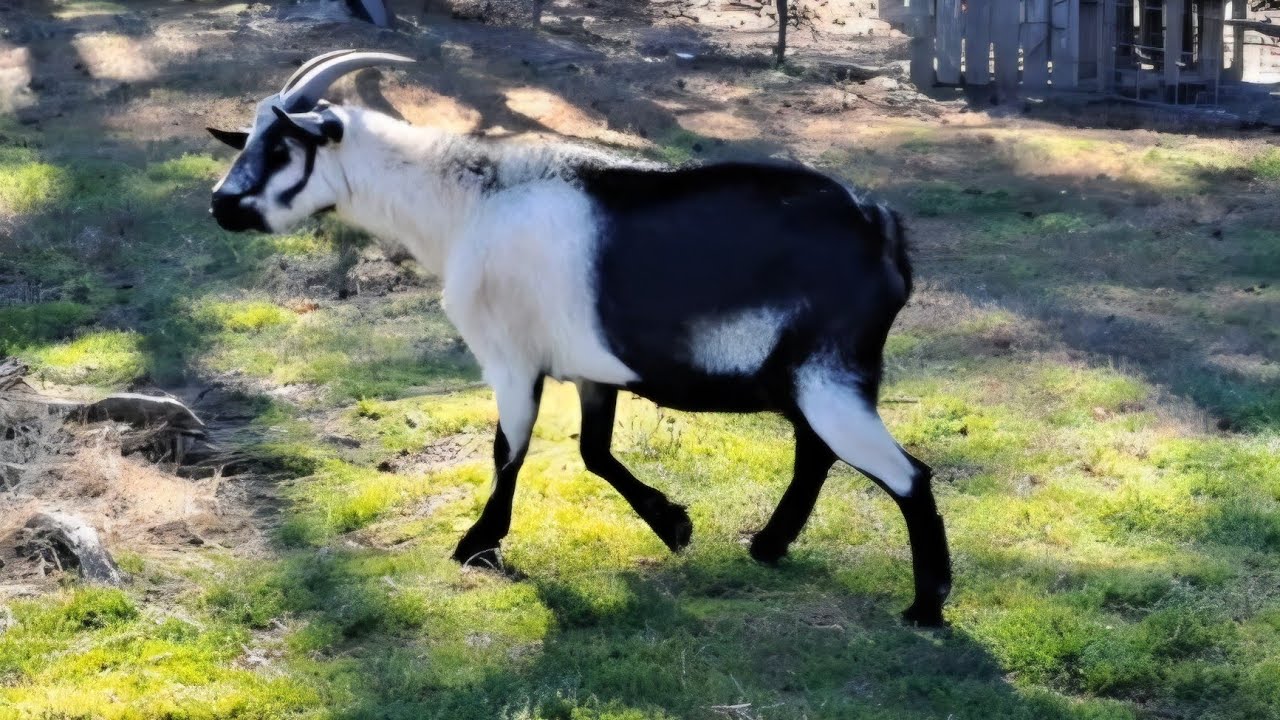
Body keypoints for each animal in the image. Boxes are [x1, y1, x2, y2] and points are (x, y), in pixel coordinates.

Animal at [207, 50, 952, 626]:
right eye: (246, 140)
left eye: (281, 146)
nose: (221, 204)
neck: (468, 205)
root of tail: (878, 227)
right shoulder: (592, 369)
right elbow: (594, 452)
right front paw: (673, 524)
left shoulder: (509, 359)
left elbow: (509, 450)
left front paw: (477, 545)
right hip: (808, 381)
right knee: (816, 455)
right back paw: (769, 546)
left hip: (829, 378)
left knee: (907, 474)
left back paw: (925, 606)